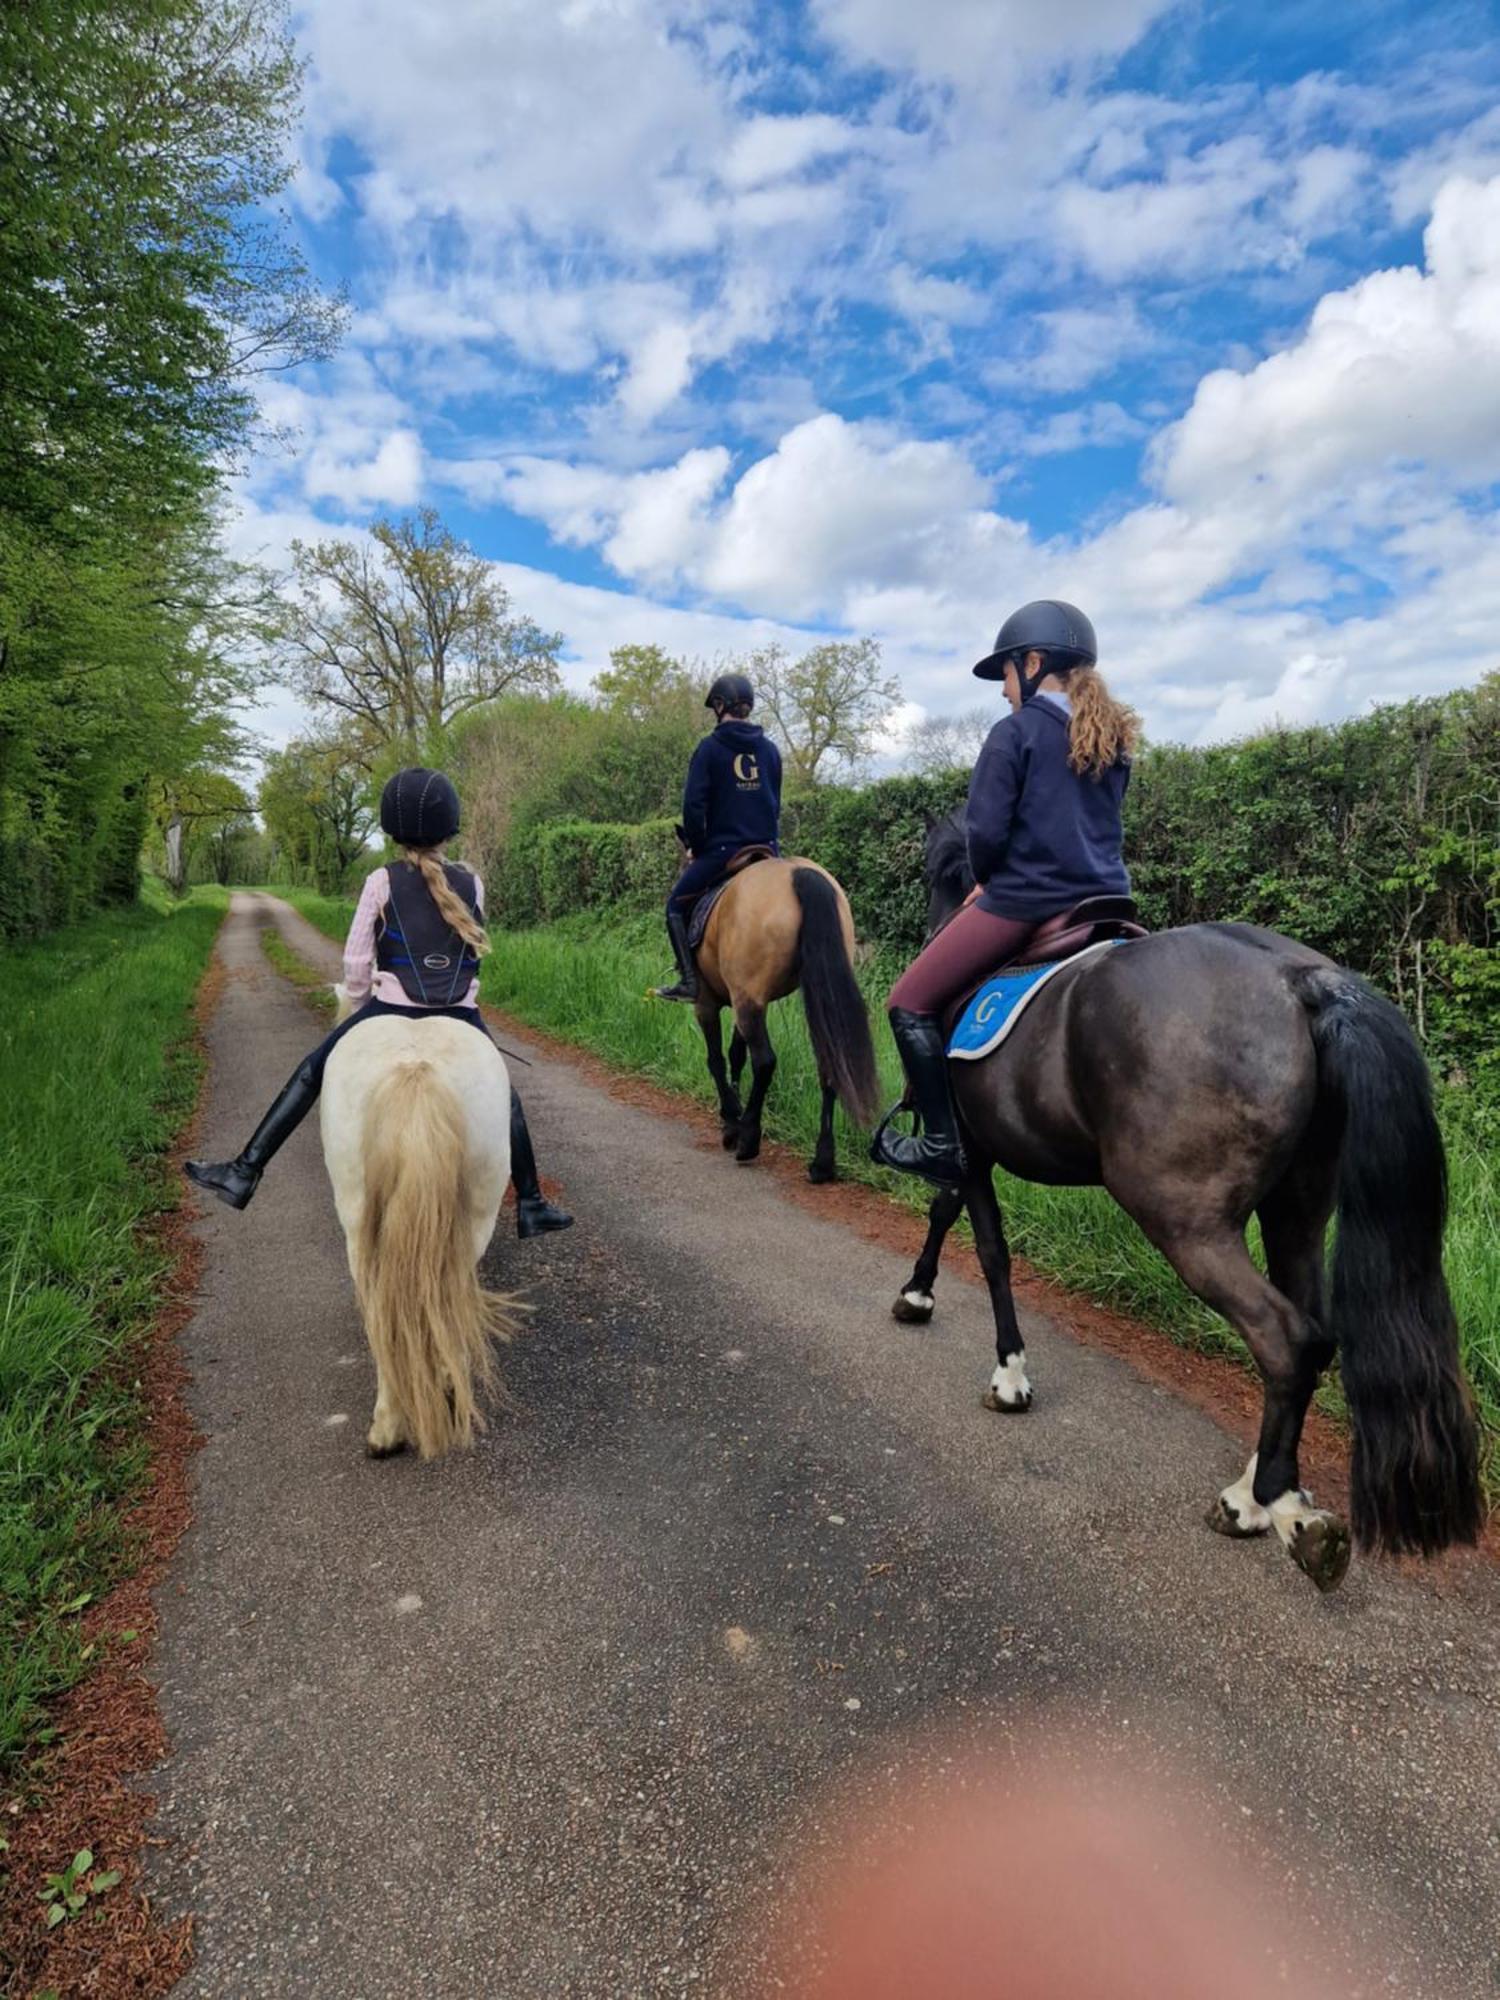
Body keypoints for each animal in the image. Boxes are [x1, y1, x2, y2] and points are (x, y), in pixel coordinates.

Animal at [692, 856, 888, 1168]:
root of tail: (798, 872)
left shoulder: (709, 1002)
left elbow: (716, 1060)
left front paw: (731, 1123)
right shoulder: (744, 1000)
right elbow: (736, 1055)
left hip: (746, 1000)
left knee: (764, 1062)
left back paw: (748, 1139)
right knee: (829, 1064)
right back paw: (823, 1160)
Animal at [888, 804, 1488, 1584]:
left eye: (937, 872)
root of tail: (1303, 980)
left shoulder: (968, 1148)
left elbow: (981, 1244)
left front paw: (988, 1356)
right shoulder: (974, 1151)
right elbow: (960, 1223)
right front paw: (928, 1300)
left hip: (1186, 1220)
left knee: (1286, 1337)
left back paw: (1267, 1505)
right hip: (1296, 1208)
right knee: (1315, 1334)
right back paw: (1270, 1493)